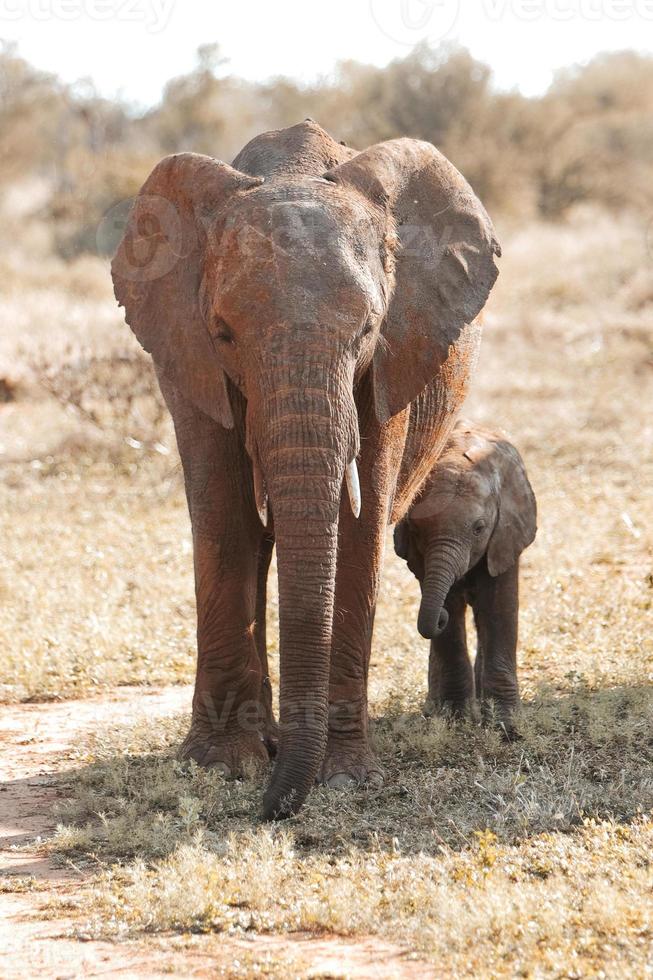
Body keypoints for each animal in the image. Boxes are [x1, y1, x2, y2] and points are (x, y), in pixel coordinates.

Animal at [112, 120, 500, 820]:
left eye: (369, 328)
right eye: (224, 332)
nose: (272, 810)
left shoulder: (393, 360)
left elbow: (358, 531)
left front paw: (343, 779)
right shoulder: (185, 352)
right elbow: (224, 520)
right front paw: (221, 767)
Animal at [392, 418, 536, 732]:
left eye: (479, 528)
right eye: (416, 529)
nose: (439, 618)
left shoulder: (506, 535)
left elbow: (499, 609)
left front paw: (506, 727)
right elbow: (451, 616)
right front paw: (455, 721)